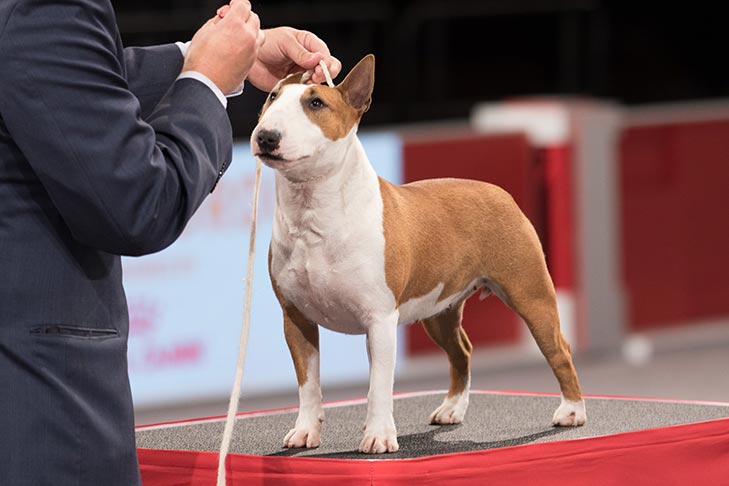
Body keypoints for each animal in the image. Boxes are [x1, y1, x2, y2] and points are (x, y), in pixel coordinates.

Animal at [250, 55, 584, 454]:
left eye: (316, 103)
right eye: (272, 97)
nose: (265, 136)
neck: (313, 208)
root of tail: (499, 191)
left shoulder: (378, 320)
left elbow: (379, 385)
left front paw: (378, 436)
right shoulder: (296, 318)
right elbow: (308, 385)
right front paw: (305, 432)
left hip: (530, 295)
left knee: (559, 348)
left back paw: (572, 411)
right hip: (439, 308)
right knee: (462, 350)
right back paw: (451, 409)